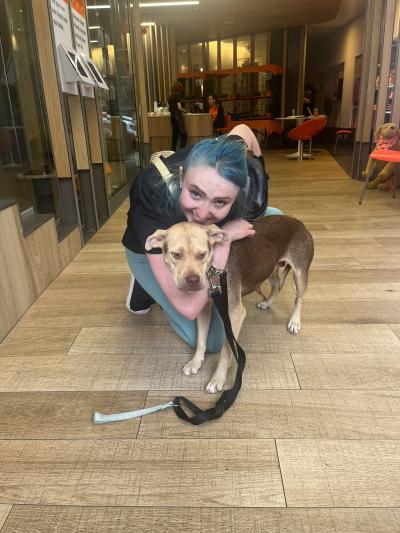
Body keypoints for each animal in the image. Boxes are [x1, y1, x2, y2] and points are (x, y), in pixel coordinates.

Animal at [145, 214, 314, 392]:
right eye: (176, 255)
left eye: (202, 254)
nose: (193, 281)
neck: (213, 269)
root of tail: (297, 221)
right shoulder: (204, 308)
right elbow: (201, 340)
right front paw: (196, 362)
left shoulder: (235, 314)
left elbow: (226, 350)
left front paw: (218, 379)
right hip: (269, 266)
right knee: (276, 284)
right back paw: (267, 303)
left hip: (300, 272)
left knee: (299, 297)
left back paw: (294, 322)